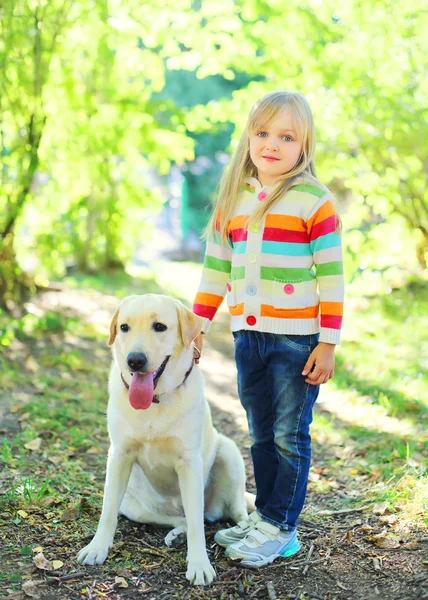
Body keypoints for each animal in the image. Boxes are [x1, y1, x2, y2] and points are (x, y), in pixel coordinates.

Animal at [77, 296, 254, 584]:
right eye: (124, 327)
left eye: (159, 326)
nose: (135, 361)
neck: (154, 400)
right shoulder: (119, 457)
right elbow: (107, 512)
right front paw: (97, 547)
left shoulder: (189, 464)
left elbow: (197, 526)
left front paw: (199, 564)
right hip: (133, 505)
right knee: (181, 519)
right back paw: (177, 533)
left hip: (229, 453)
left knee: (231, 513)